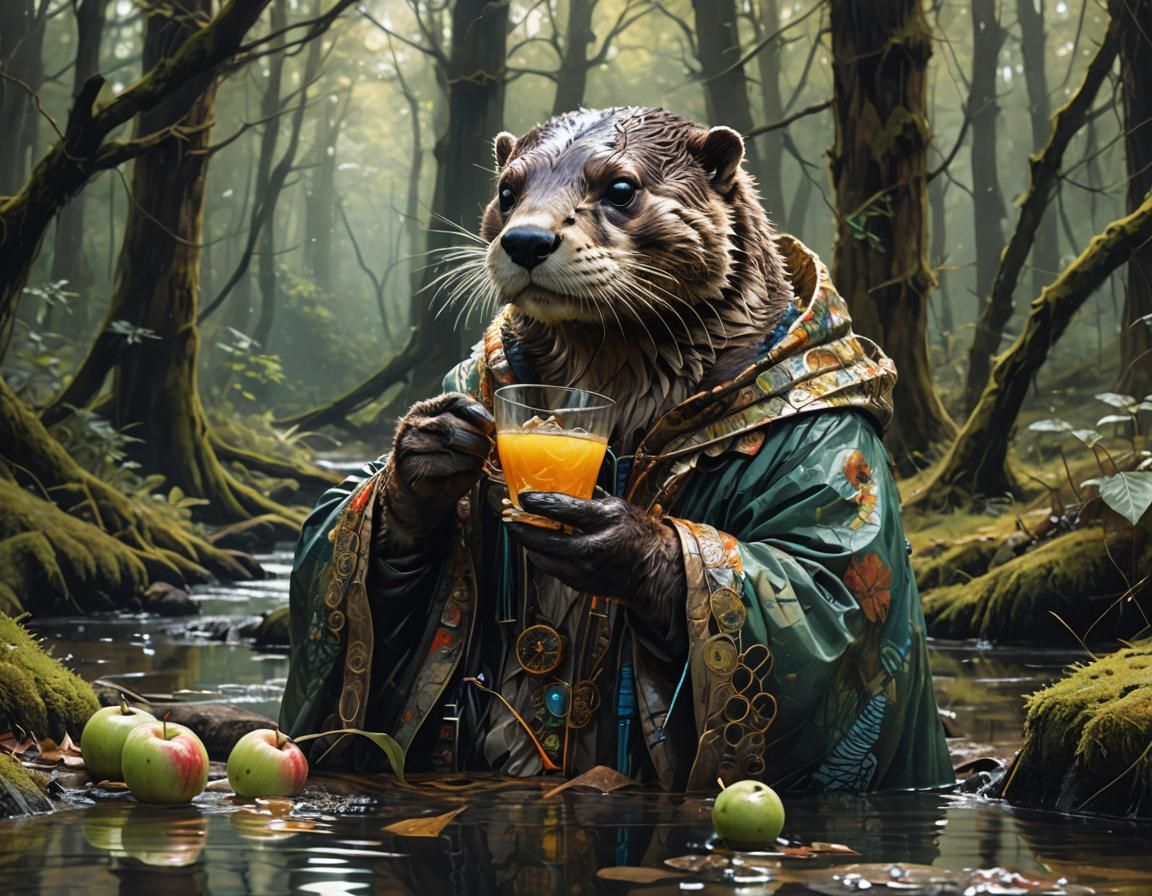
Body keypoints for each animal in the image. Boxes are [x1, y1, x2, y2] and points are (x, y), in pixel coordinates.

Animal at [280, 107, 954, 793]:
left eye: (621, 188)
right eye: (507, 191)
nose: (527, 240)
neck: (623, 401)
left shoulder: (835, 445)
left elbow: (829, 593)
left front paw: (623, 542)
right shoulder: (466, 379)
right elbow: (330, 523)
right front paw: (426, 455)